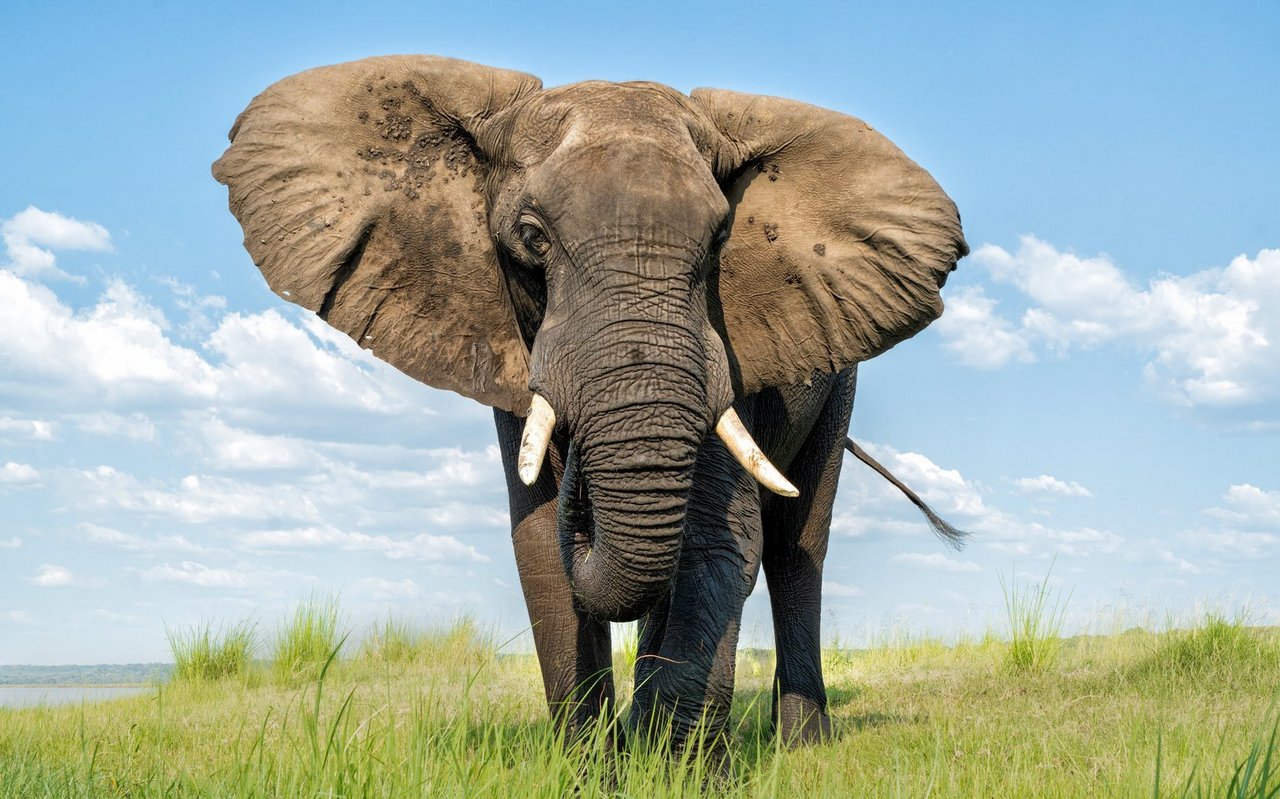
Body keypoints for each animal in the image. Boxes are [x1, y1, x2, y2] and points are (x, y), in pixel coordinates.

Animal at [212, 54, 967, 751]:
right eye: (532, 237)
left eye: (721, 239)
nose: (578, 463)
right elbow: (542, 547)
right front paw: (599, 768)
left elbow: (720, 537)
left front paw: (673, 770)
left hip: (839, 379)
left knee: (795, 547)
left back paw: (801, 745)